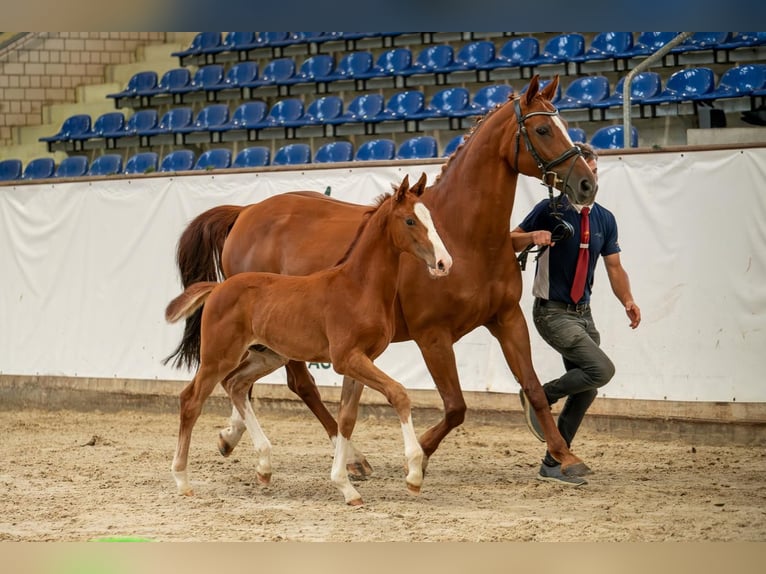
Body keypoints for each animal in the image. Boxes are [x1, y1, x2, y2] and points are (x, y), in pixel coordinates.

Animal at [168, 77, 596, 482]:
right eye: (543, 129)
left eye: (564, 124)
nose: (586, 183)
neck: (466, 234)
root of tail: (246, 211)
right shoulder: (432, 334)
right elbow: (455, 406)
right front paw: (420, 452)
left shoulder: (507, 319)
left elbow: (533, 388)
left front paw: (566, 457)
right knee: (297, 384)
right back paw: (352, 459)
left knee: (245, 381)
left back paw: (232, 437)